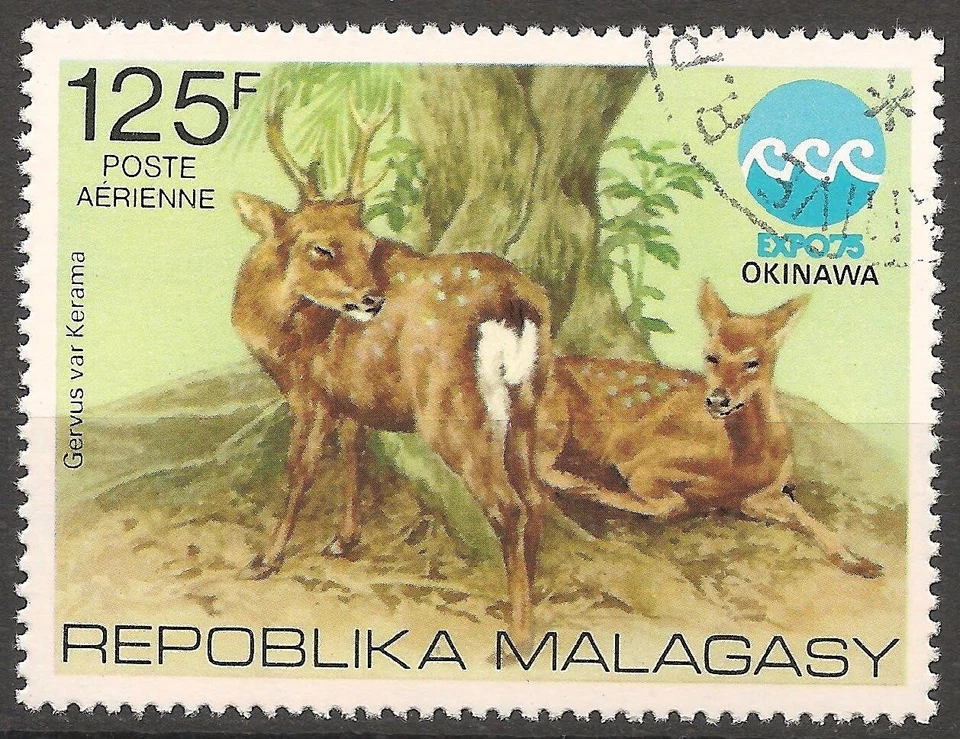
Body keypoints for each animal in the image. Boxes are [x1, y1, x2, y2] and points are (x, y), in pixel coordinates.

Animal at [231, 94, 555, 640]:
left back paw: (518, 630)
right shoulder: (351, 397)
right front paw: (344, 540)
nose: (371, 299)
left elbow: (299, 470)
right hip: (528, 398)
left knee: (509, 505)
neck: (280, 337)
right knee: (536, 498)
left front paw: (266, 558)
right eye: (321, 246)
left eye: (367, 243)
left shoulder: (311, 394)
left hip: (451, 406)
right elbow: (354, 455)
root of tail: (516, 301)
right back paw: (527, 600)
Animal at [535, 280, 883, 580]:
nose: (717, 399)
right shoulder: (645, 463)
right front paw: (603, 492)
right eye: (711, 356)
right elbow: (669, 503)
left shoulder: (764, 496)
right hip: (554, 415)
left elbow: (812, 521)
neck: (742, 464)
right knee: (540, 465)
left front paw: (862, 562)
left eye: (752, 362)